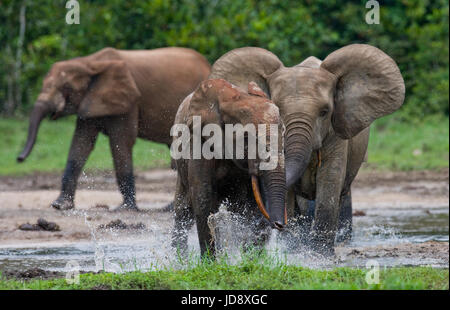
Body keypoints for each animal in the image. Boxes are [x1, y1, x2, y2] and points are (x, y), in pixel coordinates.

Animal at [15, 46, 209, 211]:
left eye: (66, 87)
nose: (19, 159)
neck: (89, 63)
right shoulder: (90, 100)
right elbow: (81, 143)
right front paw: (60, 205)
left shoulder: (129, 100)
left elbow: (120, 143)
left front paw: (125, 209)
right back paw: (169, 208)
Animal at [171, 78, 286, 258]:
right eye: (246, 138)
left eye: (284, 132)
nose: (279, 224)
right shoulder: (199, 142)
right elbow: (203, 196)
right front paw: (210, 262)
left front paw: (250, 259)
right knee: (183, 212)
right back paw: (179, 260)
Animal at [209, 44, 406, 256]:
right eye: (276, 110)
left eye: (325, 112)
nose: (276, 224)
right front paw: (290, 251)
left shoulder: (335, 133)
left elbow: (329, 182)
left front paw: (320, 255)